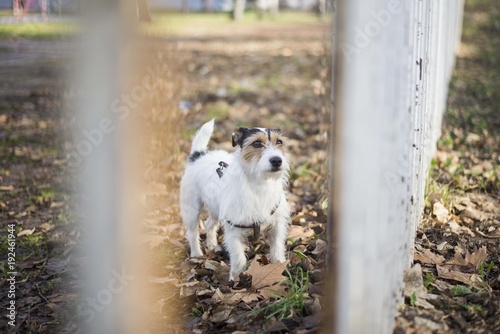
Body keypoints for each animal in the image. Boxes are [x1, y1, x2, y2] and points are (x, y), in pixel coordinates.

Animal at [180, 120, 292, 280]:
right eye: (257, 143)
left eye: (280, 142)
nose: (277, 160)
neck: (259, 184)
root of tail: (198, 156)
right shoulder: (233, 231)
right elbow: (239, 258)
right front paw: (236, 278)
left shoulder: (276, 225)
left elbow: (277, 248)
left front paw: (279, 266)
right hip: (191, 209)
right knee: (192, 232)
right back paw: (196, 254)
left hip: (216, 208)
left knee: (209, 224)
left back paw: (212, 245)